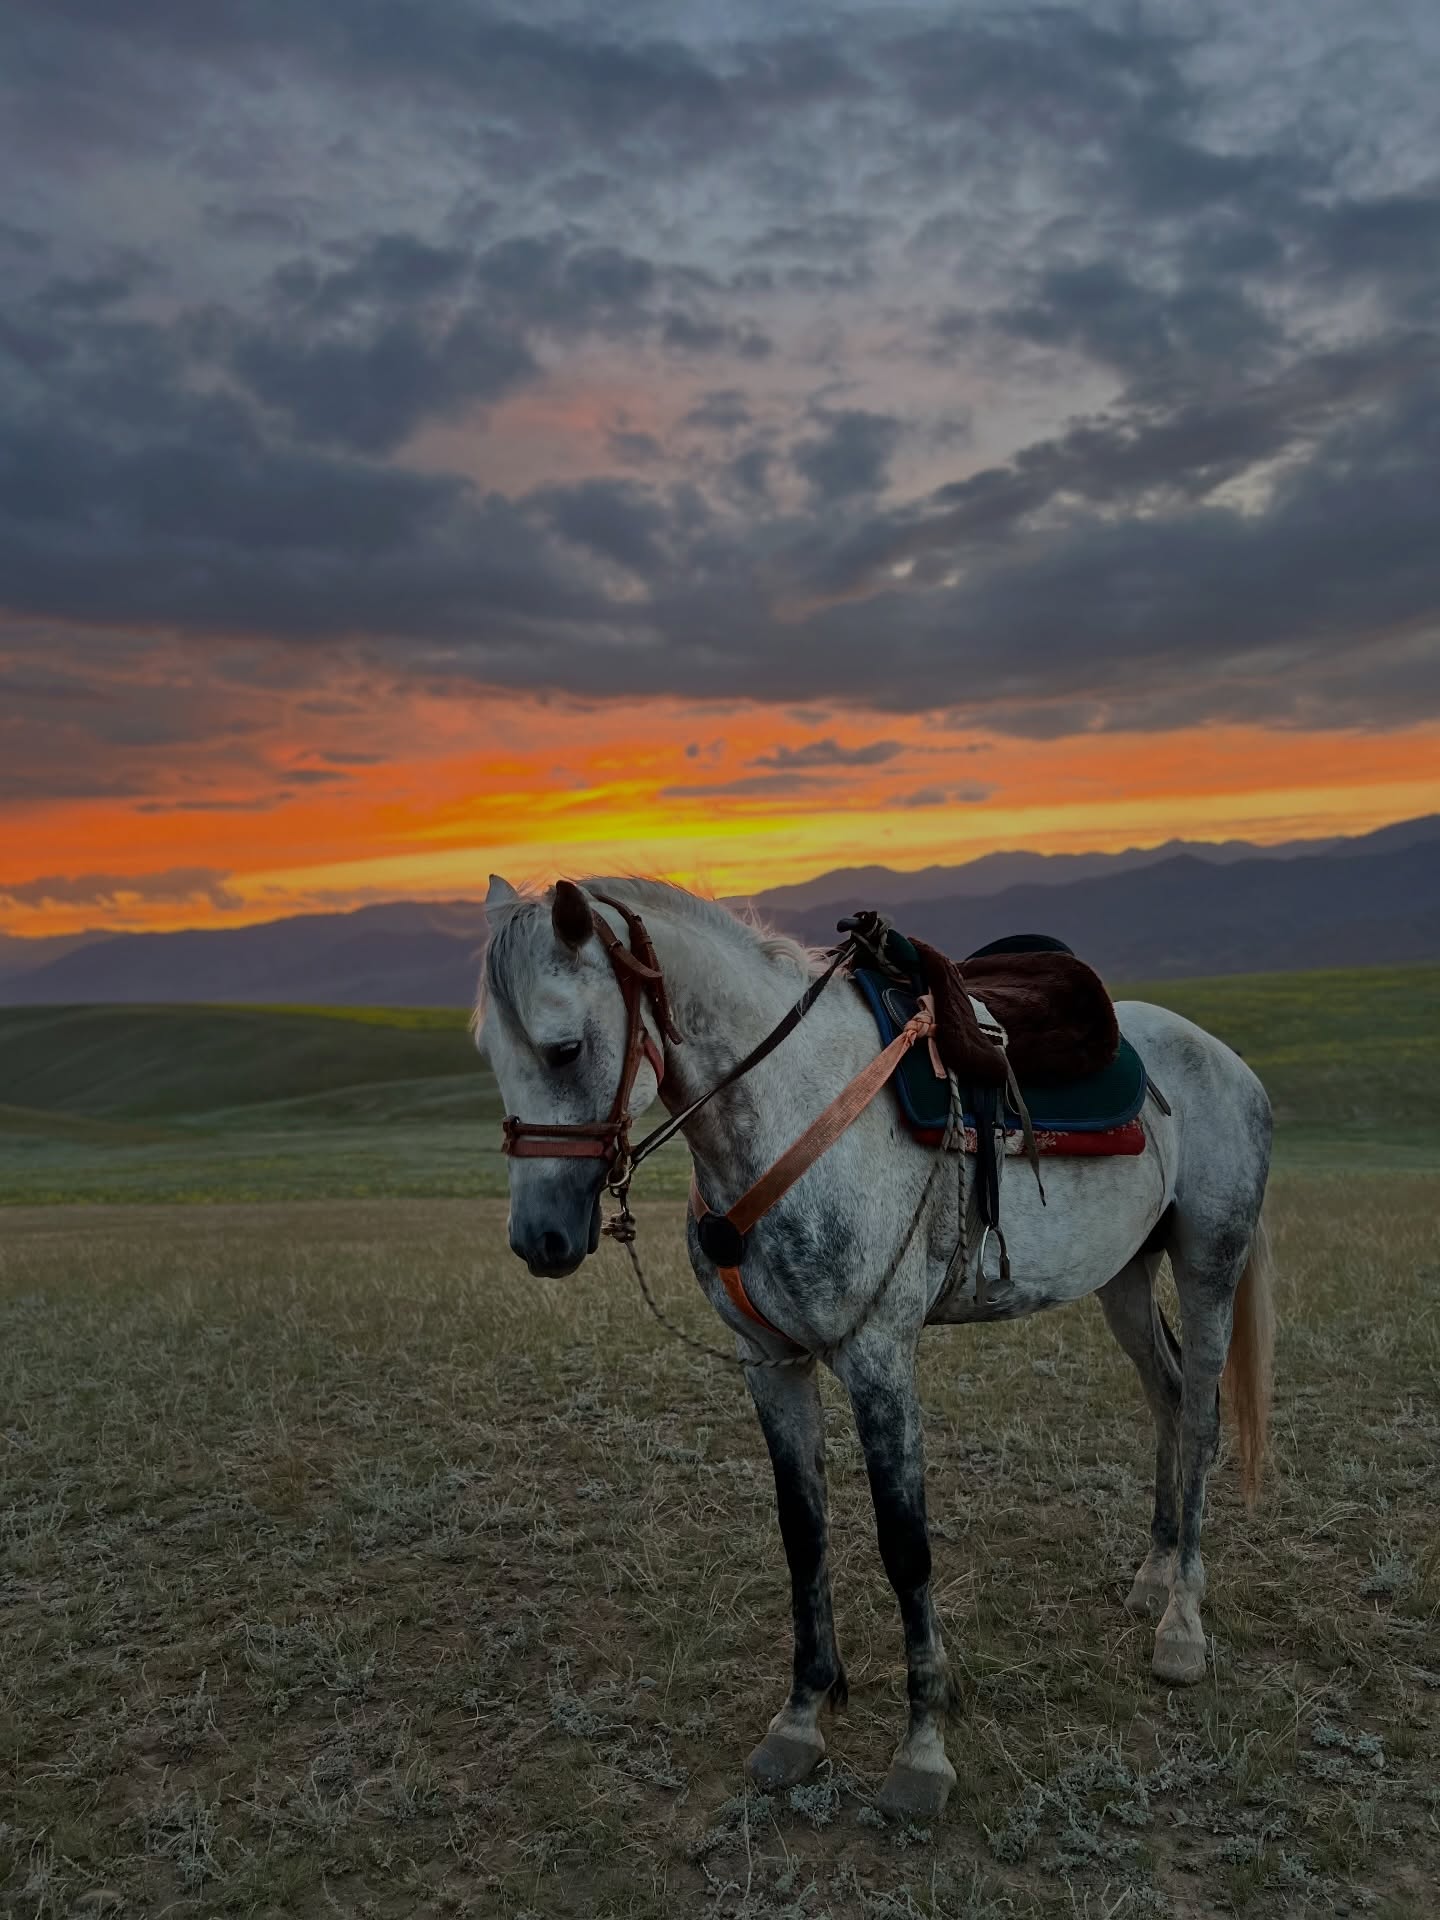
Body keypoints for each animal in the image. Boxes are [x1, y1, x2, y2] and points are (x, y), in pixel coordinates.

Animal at [477, 874, 1275, 1820]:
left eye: (564, 1049)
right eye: (489, 1053)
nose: (539, 1240)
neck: (788, 1108)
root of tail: (1228, 1060)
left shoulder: (879, 1362)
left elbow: (905, 1546)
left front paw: (922, 1750)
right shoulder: (771, 1367)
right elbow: (804, 1535)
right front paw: (800, 1719)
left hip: (1209, 1263)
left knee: (1200, 1417)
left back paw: (1181, 1621)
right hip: (1122, 1275)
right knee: (1164, 1394)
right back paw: (1153, 1573)